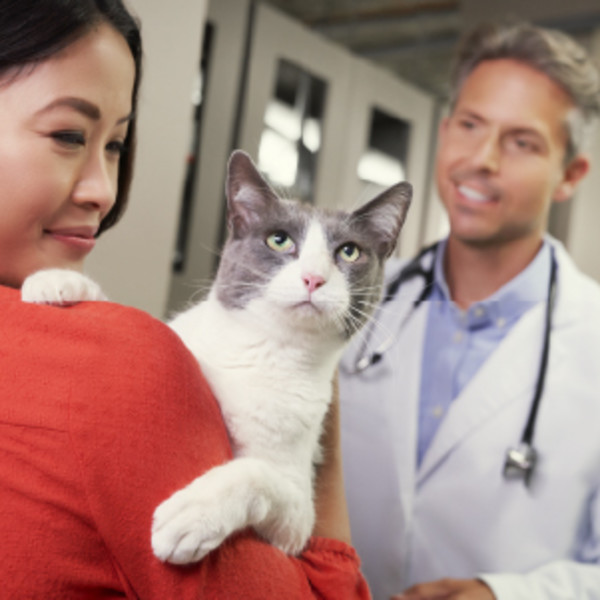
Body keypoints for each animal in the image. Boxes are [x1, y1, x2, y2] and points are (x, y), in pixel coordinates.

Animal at [19, 149, 412, 564]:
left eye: (349, 252)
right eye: (279, 240)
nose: (313, 278)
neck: (261, 349)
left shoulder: (297, 519)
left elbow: (256, 474)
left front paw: (191, 517)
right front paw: (59, 282)